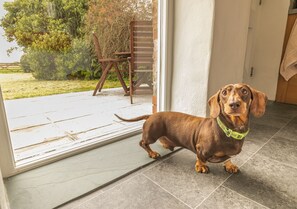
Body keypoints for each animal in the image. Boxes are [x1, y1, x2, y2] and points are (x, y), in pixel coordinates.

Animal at [115, 83, 266, 173]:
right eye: (224, 92)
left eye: (244, 91)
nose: (234, 104)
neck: (230, 130)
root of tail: (151, 115)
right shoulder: (201, 148)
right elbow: (201, 157)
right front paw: (201, 166)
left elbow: (228, 158)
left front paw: (230, 165)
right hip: (151, 134)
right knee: (143, 143)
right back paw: (152, 153)